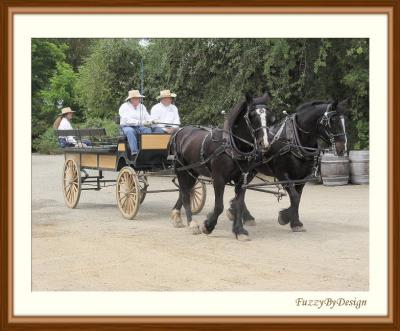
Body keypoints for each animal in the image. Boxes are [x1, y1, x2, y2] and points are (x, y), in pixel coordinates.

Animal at [169, 92, 276, 241]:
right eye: (252, 115)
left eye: (269, 116)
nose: (264, 143)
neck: (232, 146)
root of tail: (180, 131)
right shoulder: (218, 179)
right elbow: (219, 206)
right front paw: (208, 226)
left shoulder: (242, 180)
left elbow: (239, 204)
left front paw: (239, 230)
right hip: (181, 169)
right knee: (185, 194)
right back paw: (192, 224)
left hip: (193, 171)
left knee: (186, 191)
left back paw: (178, 216)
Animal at [230, 99, 348, 231]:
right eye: (332, 121)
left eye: (345, 120)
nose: (342, 148)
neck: (294, 140)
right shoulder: (282, 175)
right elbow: (294, 197)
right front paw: (286, 217)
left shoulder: (302, 178)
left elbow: (298, 198)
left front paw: (295, 221)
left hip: (250, 171)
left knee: (241, 189)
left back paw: (242, 214)